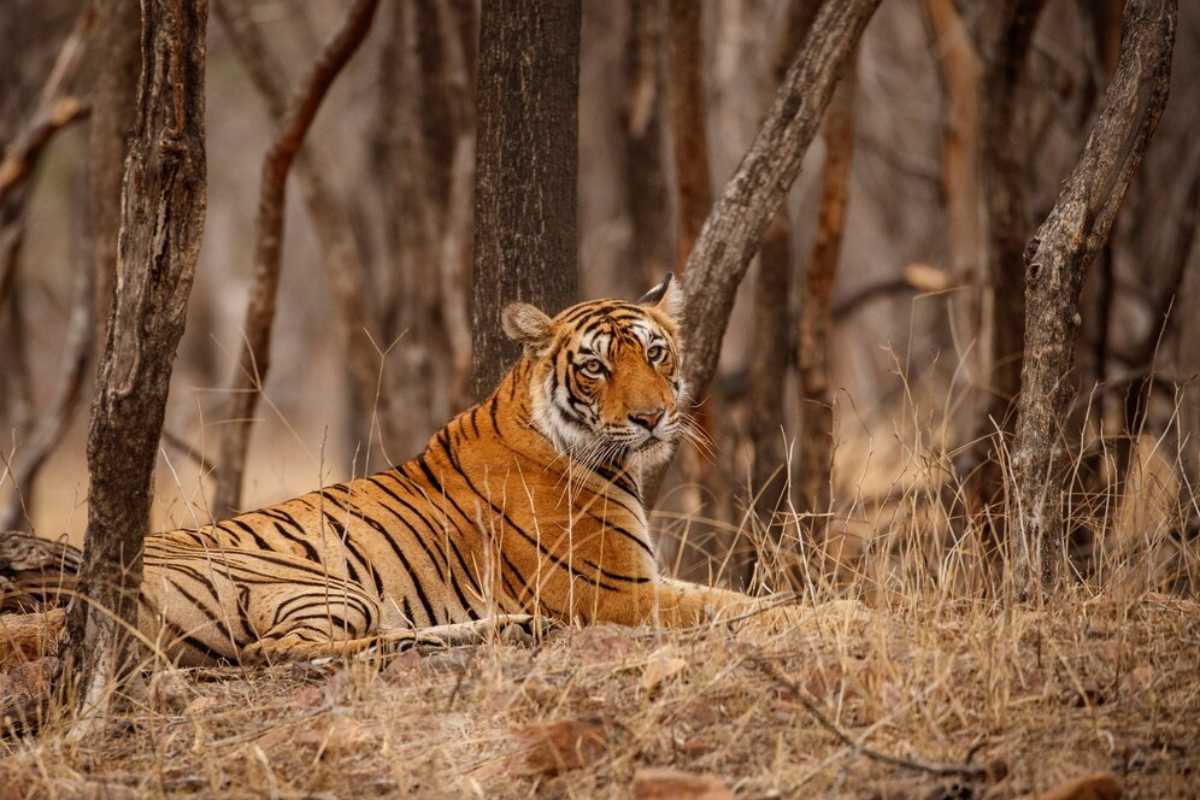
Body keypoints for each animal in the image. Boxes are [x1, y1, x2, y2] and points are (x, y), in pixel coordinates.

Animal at [1, 274, 798, 666]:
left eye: (655, 353)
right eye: (596, 366)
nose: (652, 418)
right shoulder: (618, 594)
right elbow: (746, 605)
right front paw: (823, 614)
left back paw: (504, 629)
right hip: (316, 584)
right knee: (279, 651)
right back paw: (496, 632)